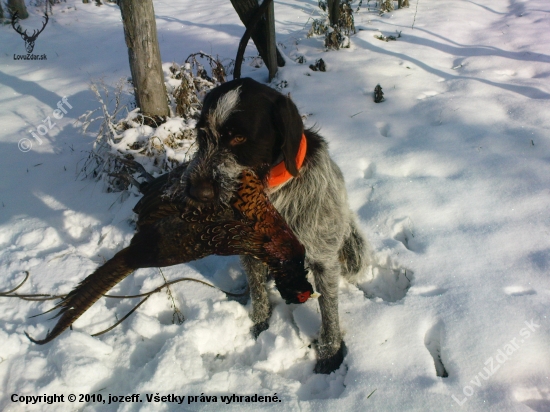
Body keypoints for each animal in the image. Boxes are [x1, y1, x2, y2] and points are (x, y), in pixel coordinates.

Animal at [185, 77, 370, 374]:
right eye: (203, 134)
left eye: (239, 137)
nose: (195, 192)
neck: (268, 193)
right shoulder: (249, 251)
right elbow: (258, 293)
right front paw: (260, 323)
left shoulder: (324, 260)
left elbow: (329, 311)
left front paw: (330, 353)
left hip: (352, 251)